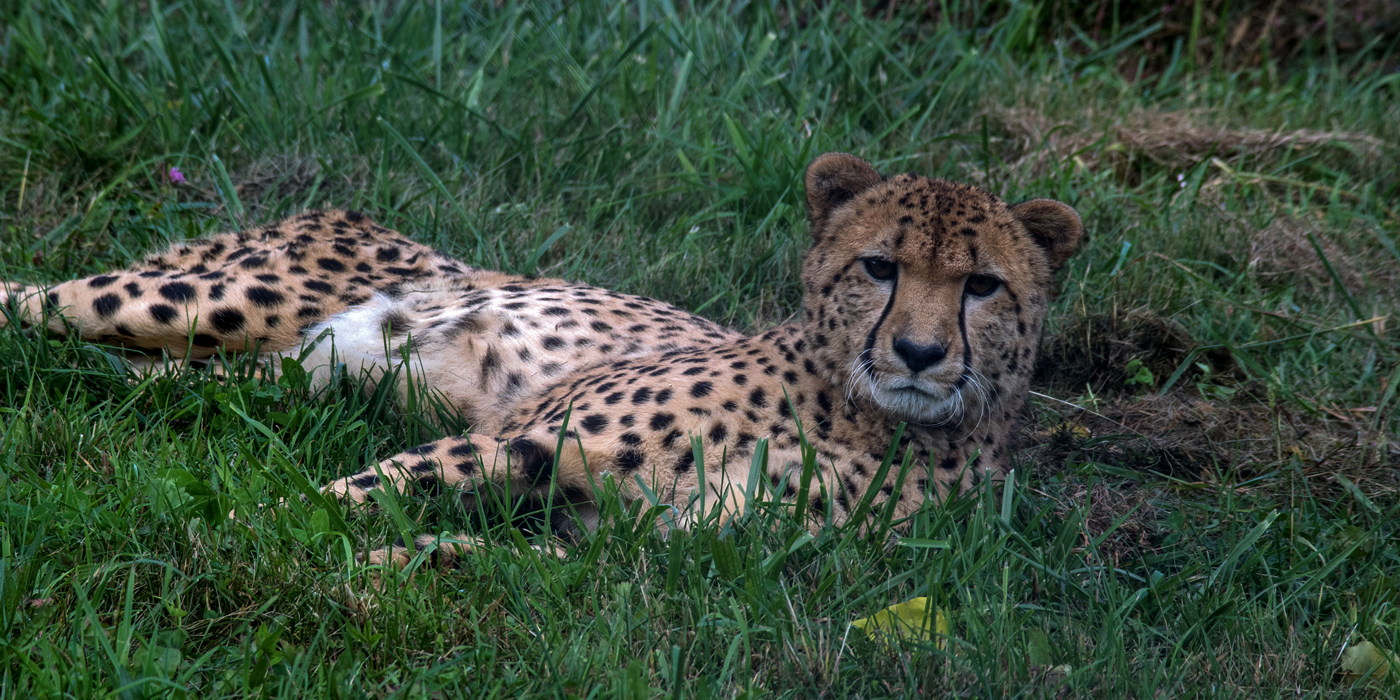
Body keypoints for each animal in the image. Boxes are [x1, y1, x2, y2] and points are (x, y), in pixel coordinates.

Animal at [2, 151, 1080, 562]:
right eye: (879, 266)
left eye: (982, 286)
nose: (918, 351)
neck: (860, 413)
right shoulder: (529, 440)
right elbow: (346, 492)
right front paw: (237, 532)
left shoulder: (650, 545)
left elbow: (492, 558)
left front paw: (388, 565)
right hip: (212, 299)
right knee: (33, 301)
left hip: (262, 372)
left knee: (137, 377)